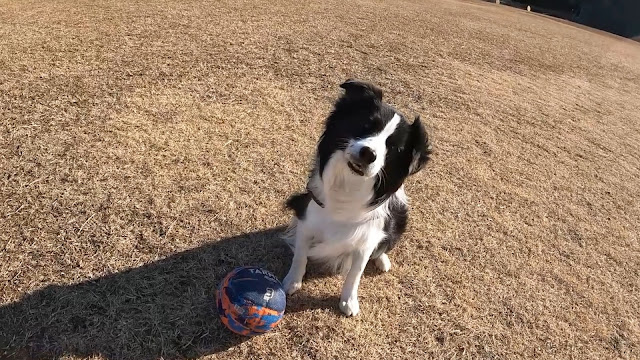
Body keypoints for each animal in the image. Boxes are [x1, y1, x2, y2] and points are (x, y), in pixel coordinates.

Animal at [284, 79, 430, 316]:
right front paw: (291, 282)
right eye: (366, 125)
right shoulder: (307, 220)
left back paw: (382, 260)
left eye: (394, 147)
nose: (368, 153)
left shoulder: (366, 239)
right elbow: (300, 255)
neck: (348, 185)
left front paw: (348, 301)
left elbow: (355, 273)